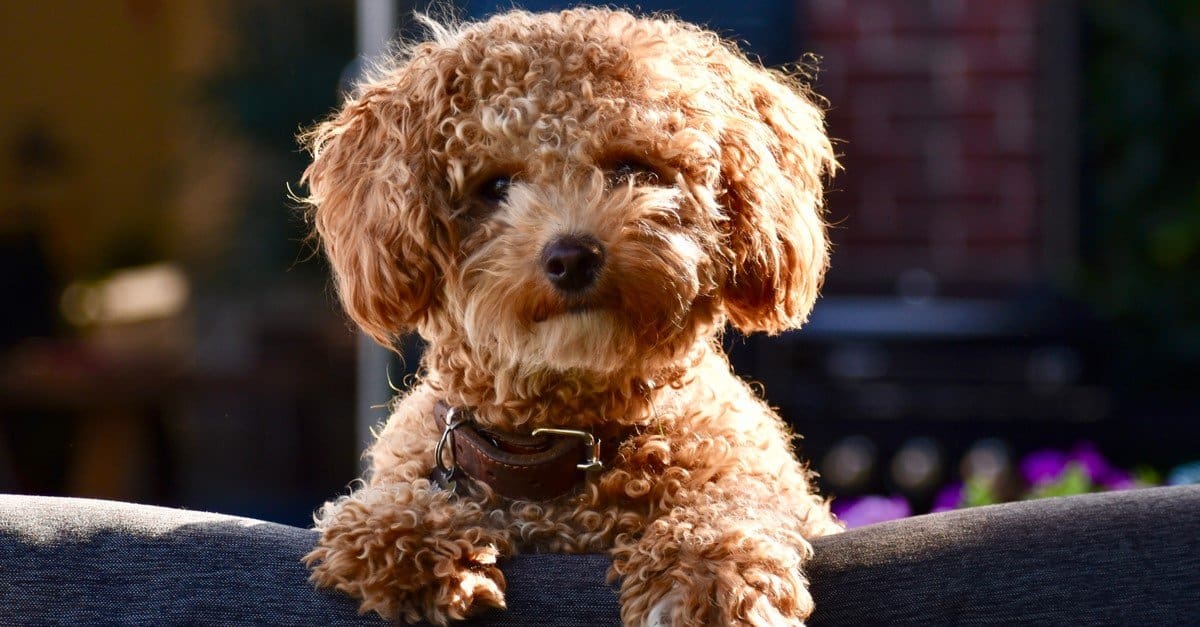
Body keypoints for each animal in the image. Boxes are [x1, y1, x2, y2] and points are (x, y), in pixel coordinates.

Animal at [302, 7, 844, 619]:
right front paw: (403, 534)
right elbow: (392, 505)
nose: (571, 257)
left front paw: (710, 571)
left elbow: (736, 498)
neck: (563, 444)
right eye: (495, 185)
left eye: (633, 167)